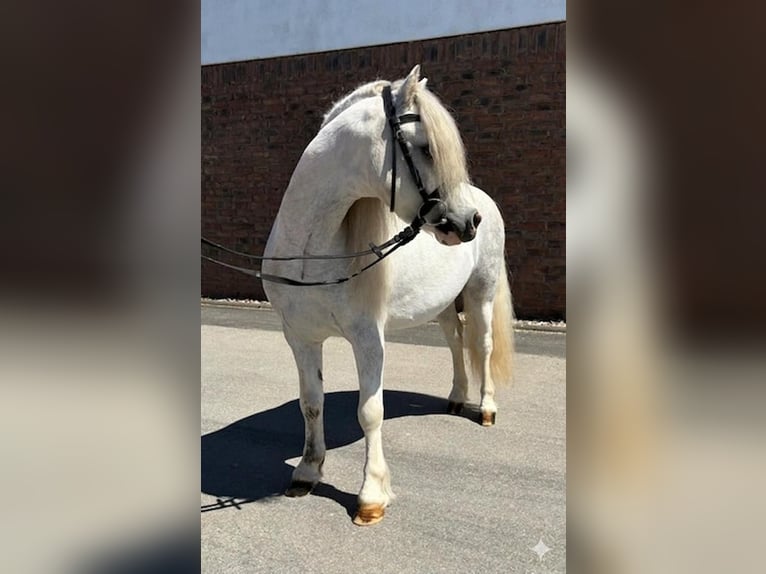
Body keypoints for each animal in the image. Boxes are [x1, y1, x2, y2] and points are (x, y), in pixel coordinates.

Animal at [262, 65, 514, 525]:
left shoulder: (368, 338)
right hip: (444, 305)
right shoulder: (300, 337)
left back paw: (486, 408)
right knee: (455, 342)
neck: (311, 250)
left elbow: (370, 411)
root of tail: (484, 200)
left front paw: (371, 497)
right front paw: (307, 472)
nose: (468, 221)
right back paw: (456, 399)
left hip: (481, 293)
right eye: (426, 148)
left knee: (483, 346)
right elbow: (311, 403)